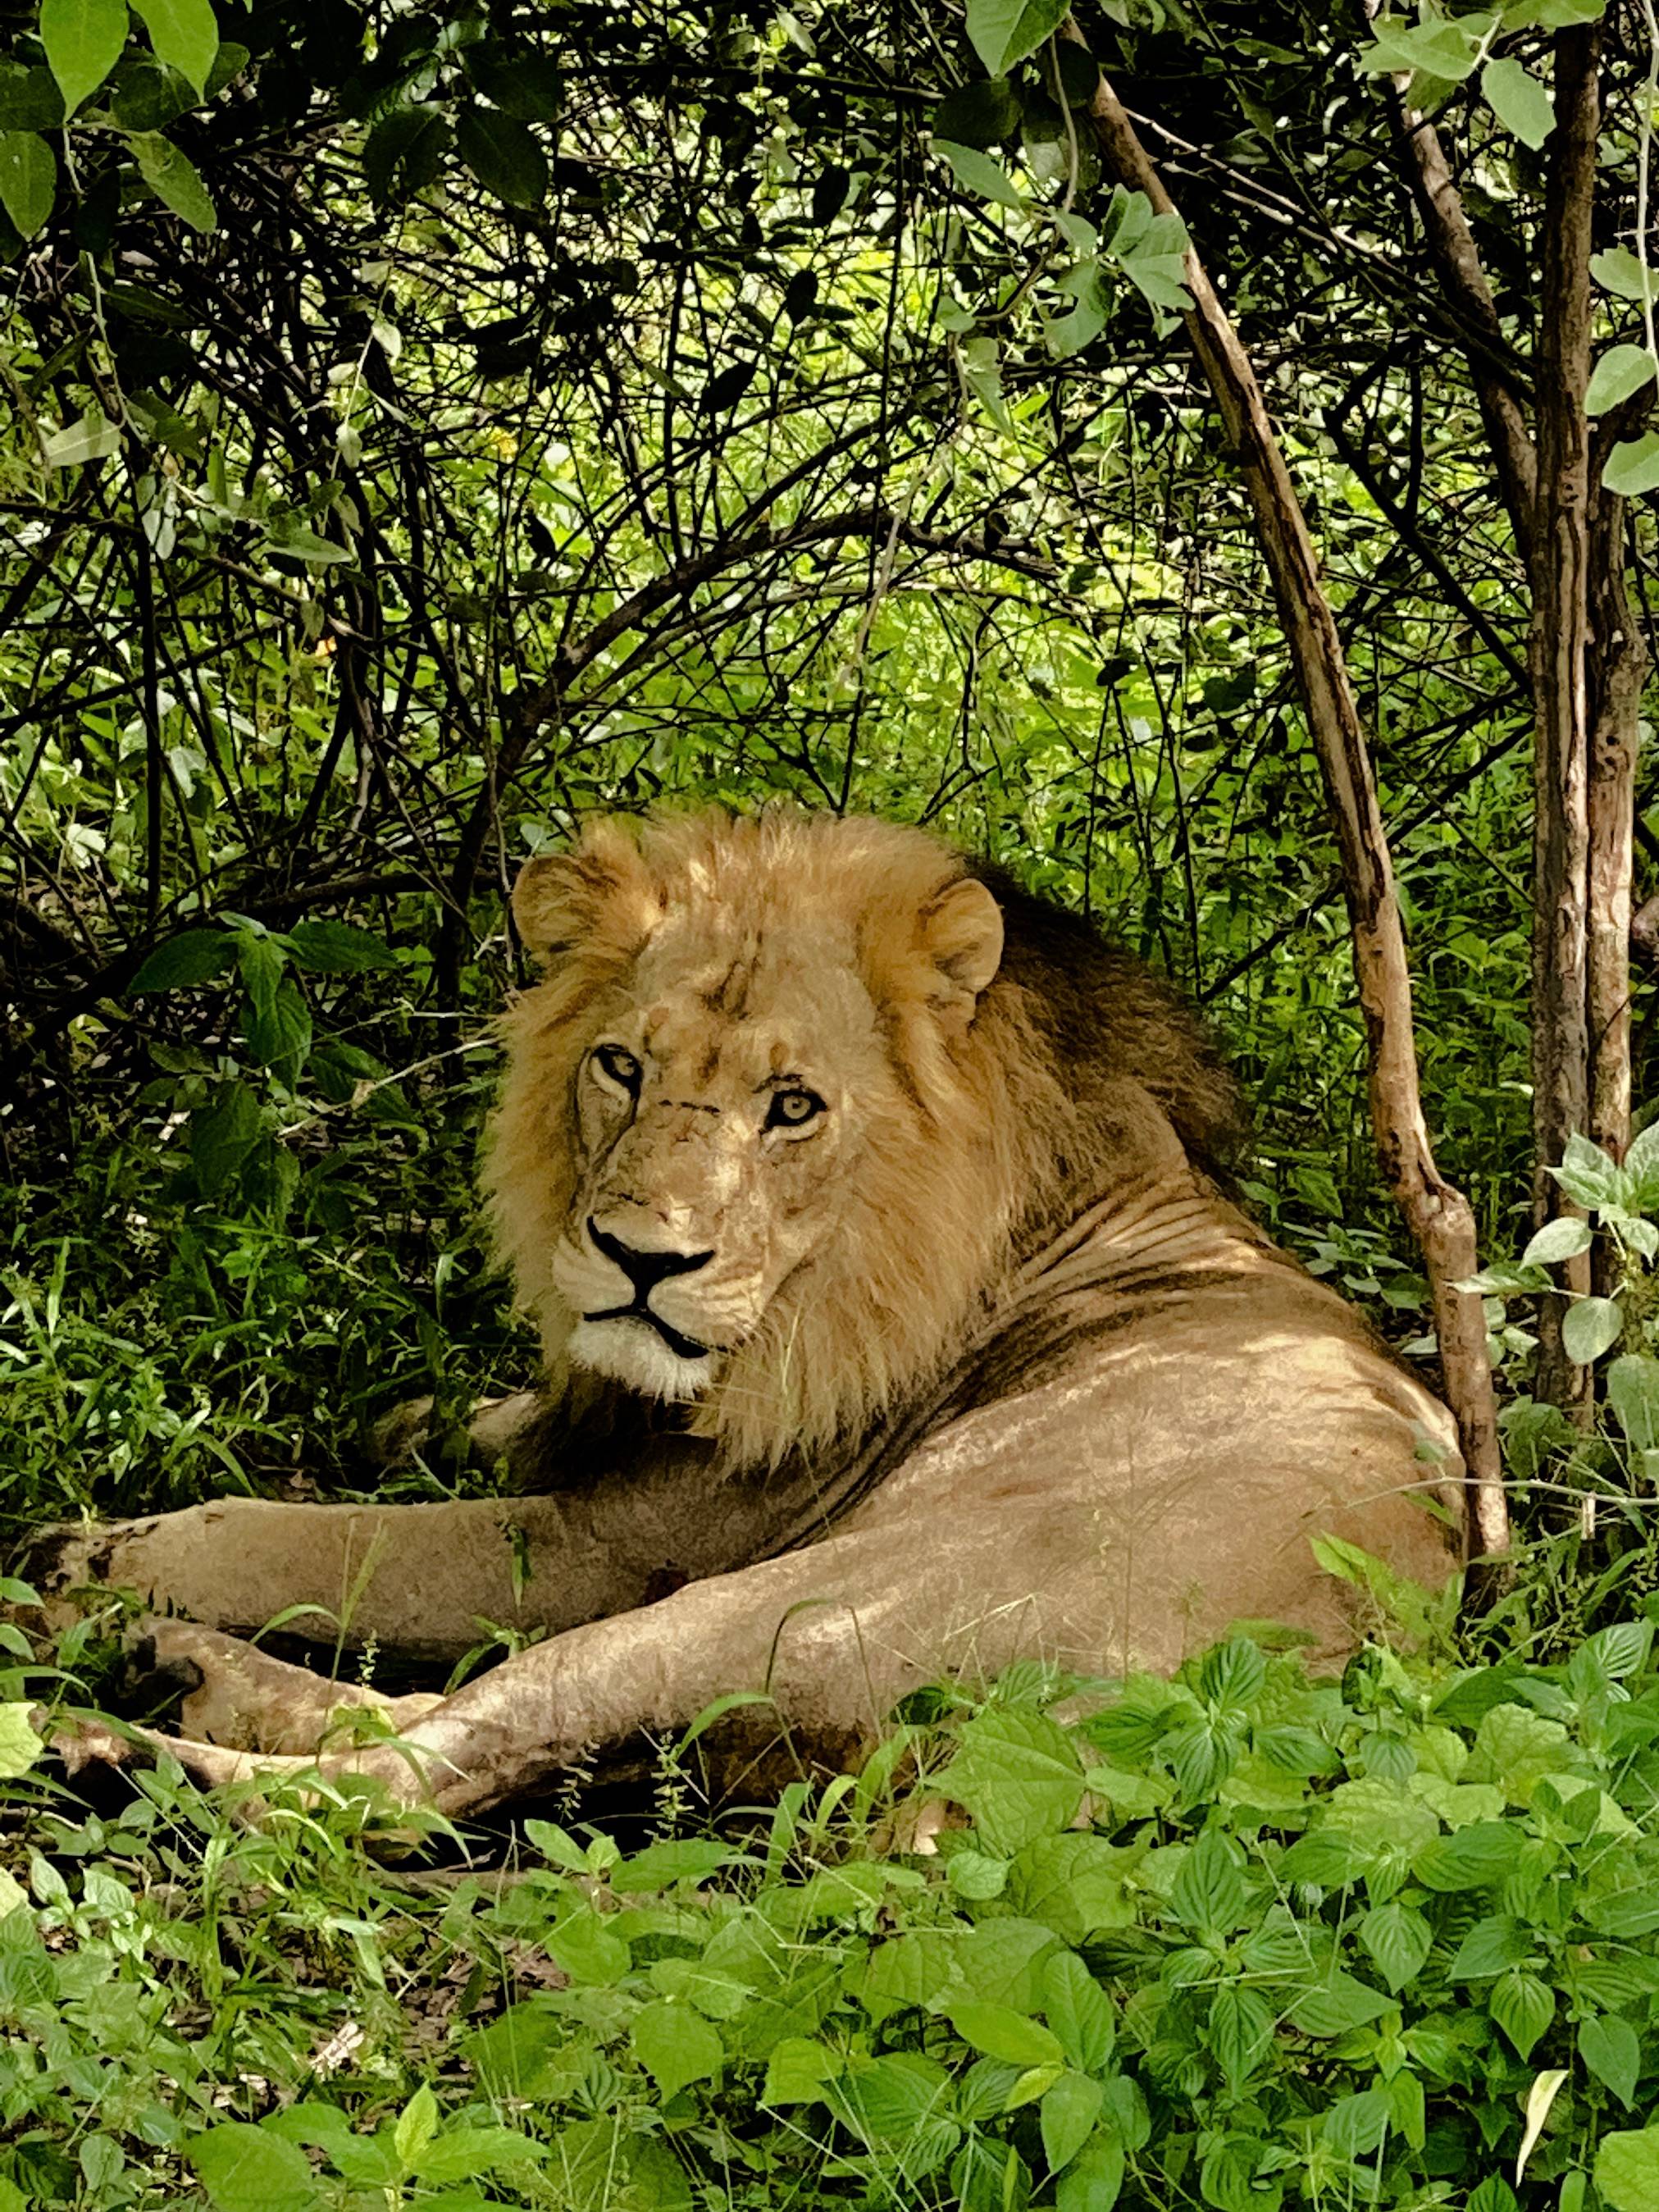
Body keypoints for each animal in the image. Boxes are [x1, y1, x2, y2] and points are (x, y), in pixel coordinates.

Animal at [34, 807, 1463, 1814]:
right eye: (620, 1066)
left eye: (791, 1107)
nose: (637, 1257)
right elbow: (471, 1426)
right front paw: (403, 1420)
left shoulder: (607, 1540)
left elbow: (305, 1540)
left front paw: (84, 1556)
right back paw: (180, 1681)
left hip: (784, 1602)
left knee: (410, 1776)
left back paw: (122, 1738)